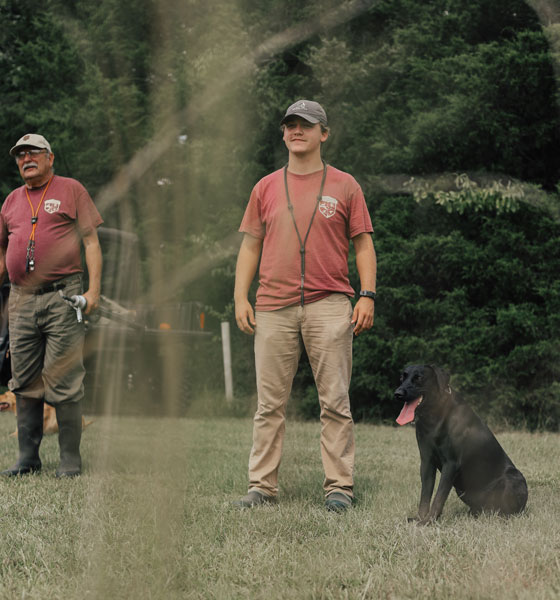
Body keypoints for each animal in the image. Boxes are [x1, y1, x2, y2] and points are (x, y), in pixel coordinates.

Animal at [394, 364, 528, 524]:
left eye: (419, 377)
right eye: (402, 377)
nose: (397, 393)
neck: (433, 418)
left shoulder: (451, 464)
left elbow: (439, 497)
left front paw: (429, 521)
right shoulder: (426, 462)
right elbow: (425, 496)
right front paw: (419, 518)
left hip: (514, 477)